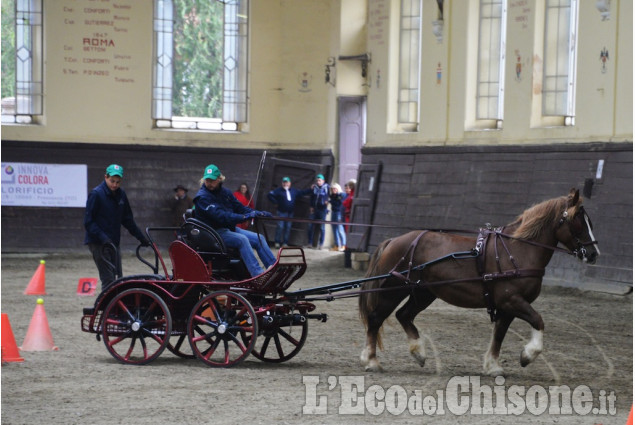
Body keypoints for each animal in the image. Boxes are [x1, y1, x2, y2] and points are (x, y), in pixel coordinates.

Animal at [360, 189, 600, 374]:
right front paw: (527, 355)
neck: (518, 250)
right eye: (579, 222)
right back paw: (372, 360)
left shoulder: (507, 307)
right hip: (393, 290)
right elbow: (538, 320)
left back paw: (418, 352)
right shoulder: (511, 300)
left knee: (404, 315)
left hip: (424, 293)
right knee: (376, 319)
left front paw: (493, 366)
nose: (593, 254)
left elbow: (499, 335)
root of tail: (394, 240)